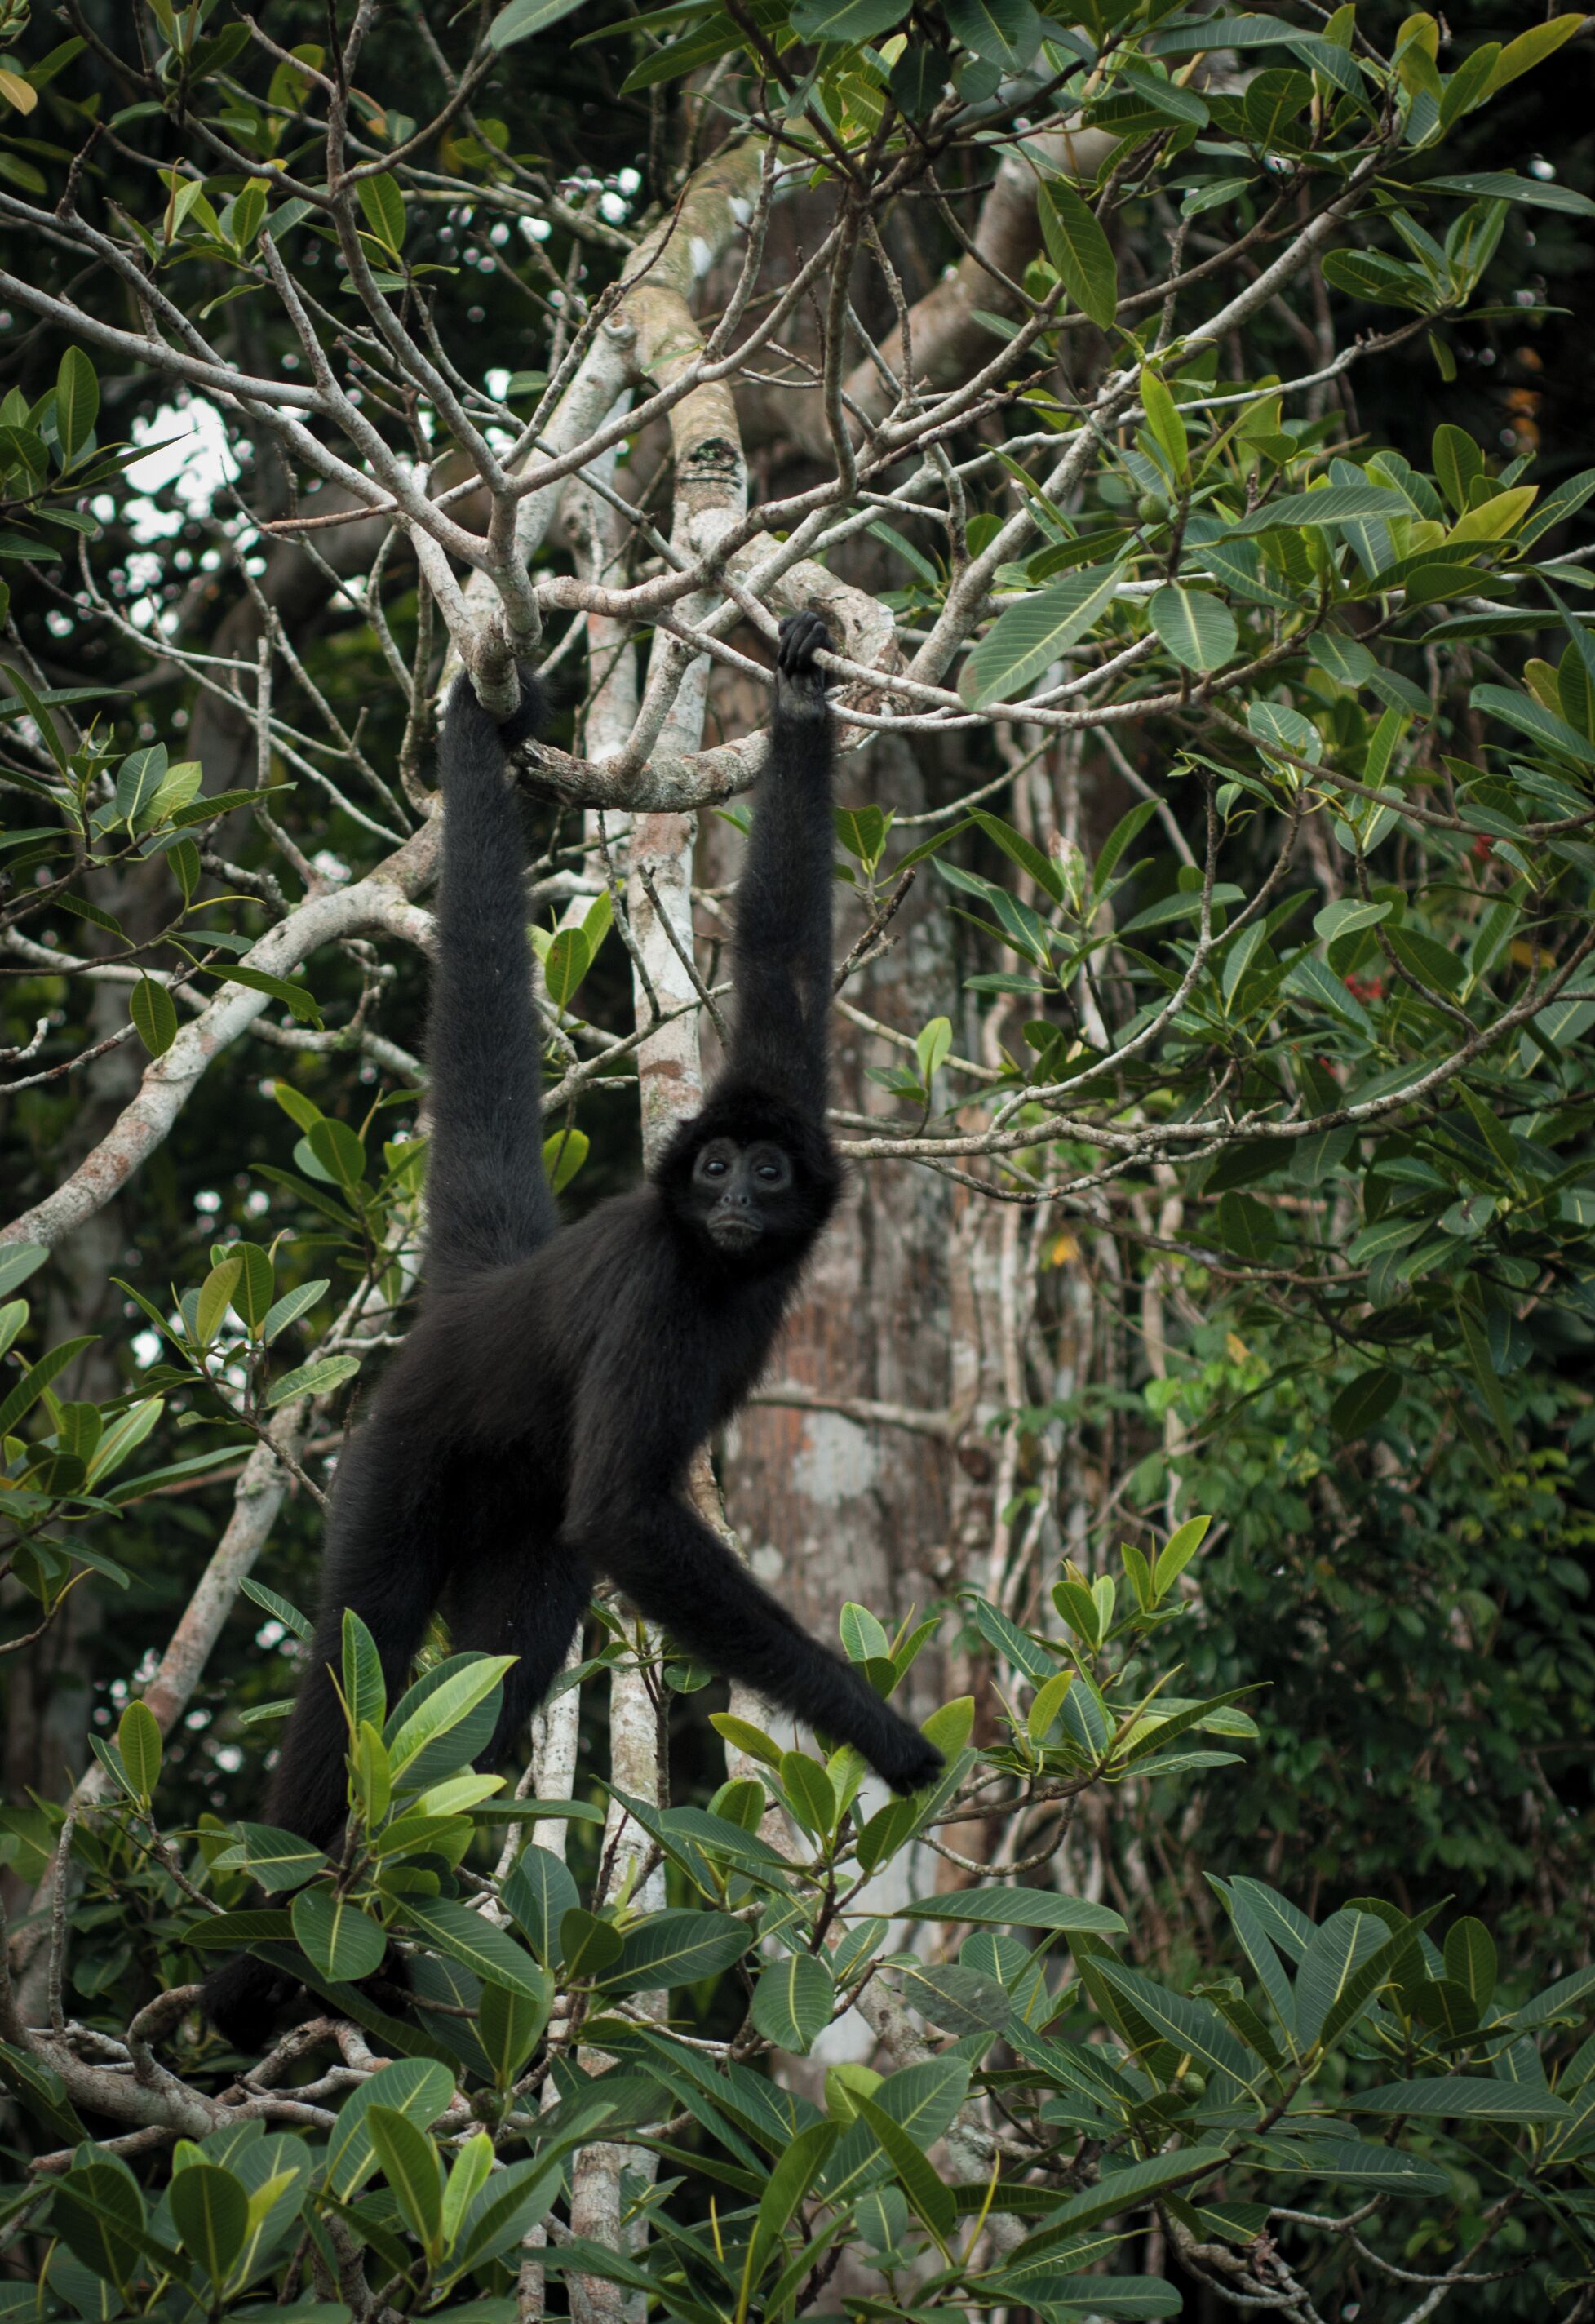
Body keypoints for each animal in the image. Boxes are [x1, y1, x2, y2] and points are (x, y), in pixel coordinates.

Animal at [202, 613, 942, 2045]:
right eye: (709, 1170)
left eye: (767, 1169)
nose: (729, 1194)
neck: (715, 1272)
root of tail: (476, 1297)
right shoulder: (657, 1289)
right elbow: (623, 1515)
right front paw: (879, 1735)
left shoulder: (774, 1092)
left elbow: (780, 963)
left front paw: (798, 704)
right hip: (399, 1463)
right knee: (352, 1678)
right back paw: (259, 1977)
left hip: (510, 1532)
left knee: (490, 1692)